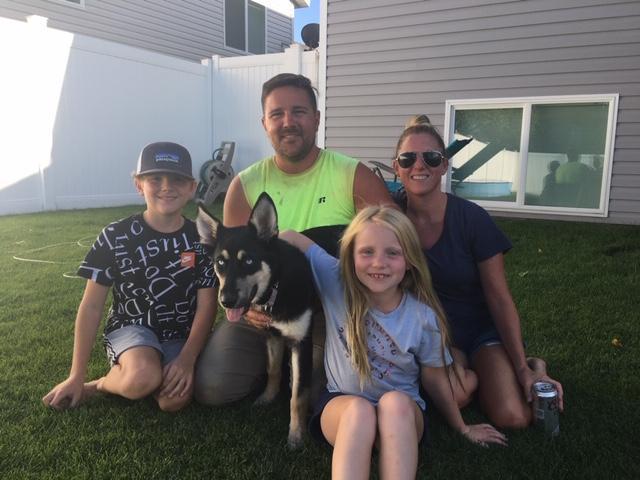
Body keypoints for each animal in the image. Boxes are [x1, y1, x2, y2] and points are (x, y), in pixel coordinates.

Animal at [196, 193, 314, 448]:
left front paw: (296, 434)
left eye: (249, 261)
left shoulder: (301, 342)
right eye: (220, 262)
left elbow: (298, 395)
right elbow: (273, 370)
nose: (226, 301)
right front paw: (267, 398)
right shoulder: (272, 335)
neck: (276, 287)